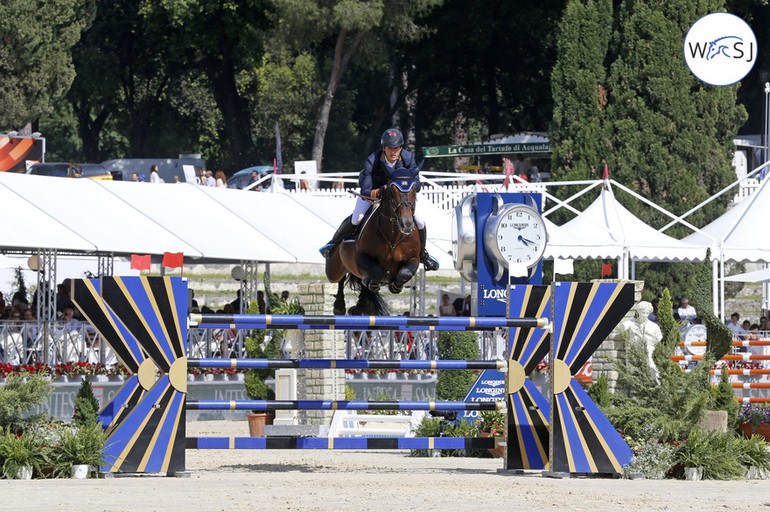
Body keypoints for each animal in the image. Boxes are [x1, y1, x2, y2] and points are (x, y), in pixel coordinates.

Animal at [322, 168, 424, 316]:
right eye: (392, 191)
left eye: (414, 189)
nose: (407, 224)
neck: (393, 237)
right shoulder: (361, 259)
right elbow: (375, 272)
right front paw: (373, 282)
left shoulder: (414, 259)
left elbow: (405, 273)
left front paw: (395, 286)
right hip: (333, 270)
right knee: (340, 278)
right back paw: (340, 306)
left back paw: (360, 305)